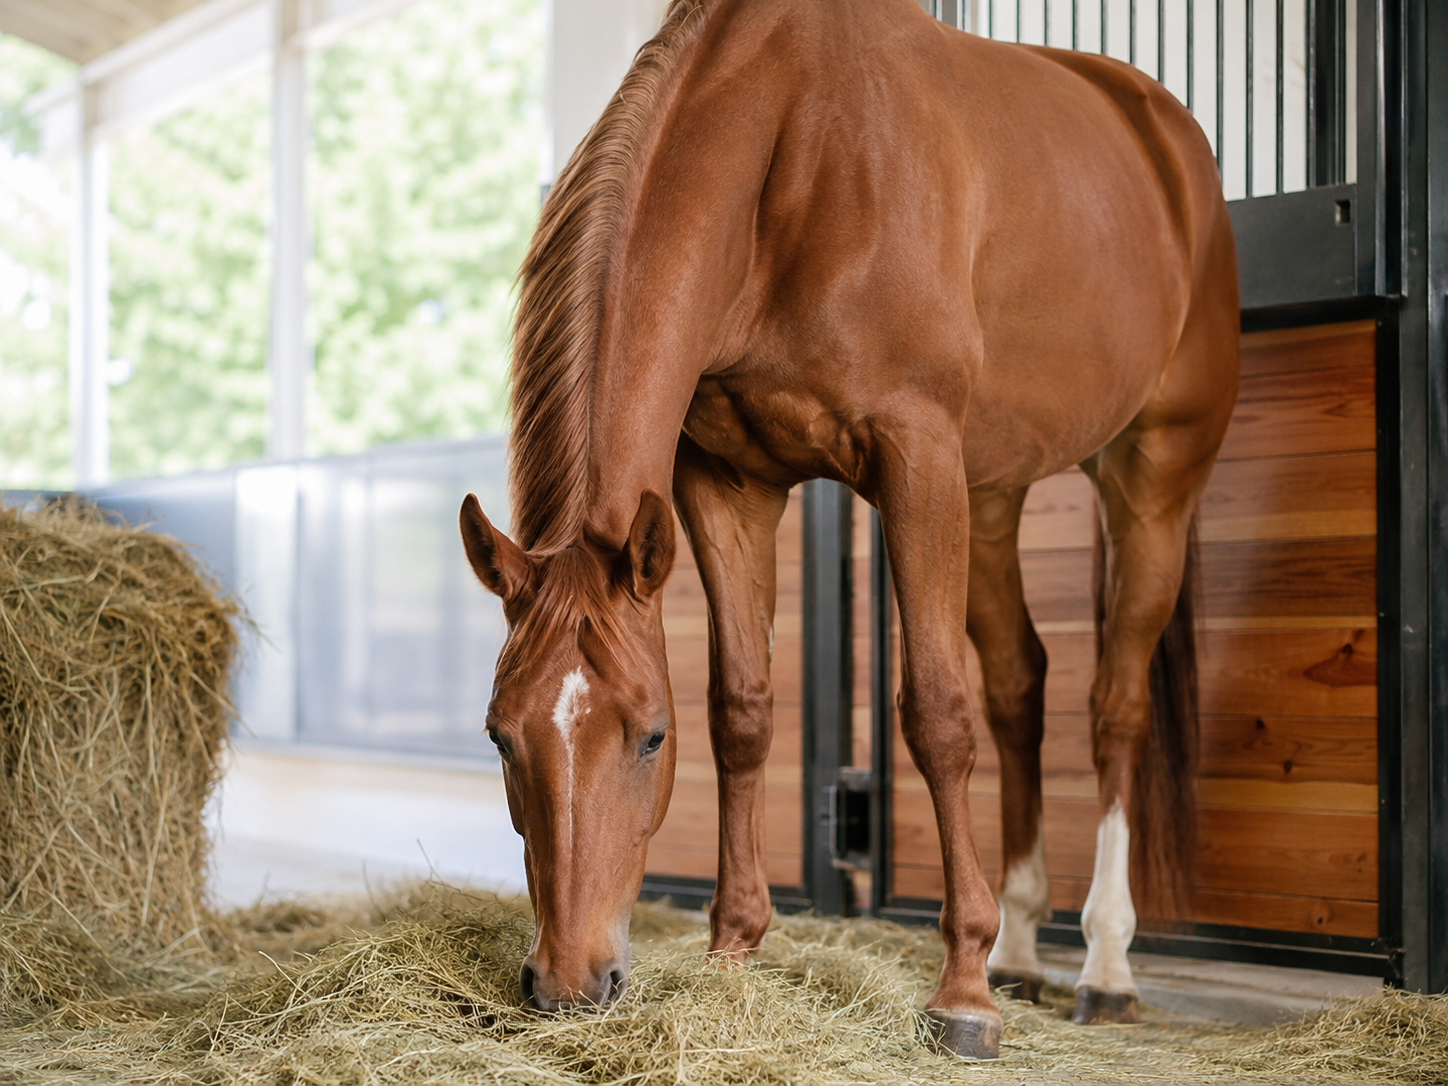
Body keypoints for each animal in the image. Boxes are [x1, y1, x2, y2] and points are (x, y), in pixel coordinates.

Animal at [459, 0, 1238, 1059]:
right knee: (1020, 688)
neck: (793, 159)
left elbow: (936, 716)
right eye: (500, 737)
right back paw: (1024, 951)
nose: (569, 982)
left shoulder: (916, 456)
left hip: (1150, 475)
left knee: (1112, 706)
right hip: (991, 493)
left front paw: (962, 994)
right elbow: (746, 710)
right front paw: (733, 951)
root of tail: (1169, 139)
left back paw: (1103, 967)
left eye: (651, 738)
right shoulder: (728, 483)